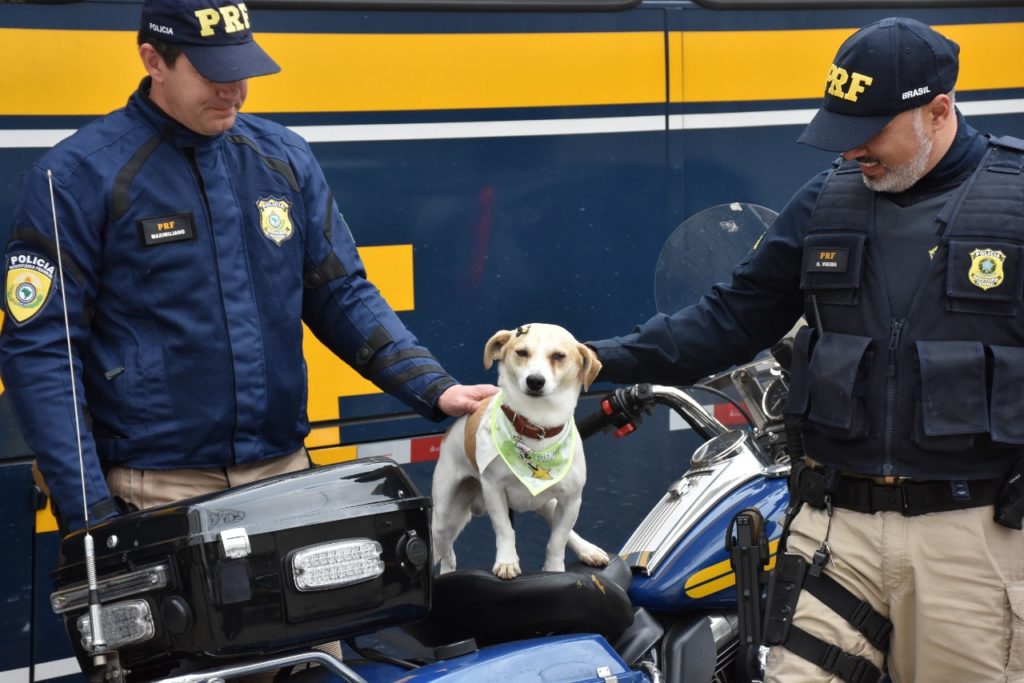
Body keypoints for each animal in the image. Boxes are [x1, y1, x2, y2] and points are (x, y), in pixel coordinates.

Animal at [431, 323, 610, 579]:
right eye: (522, 352)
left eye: (558, 356)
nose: (535, 380)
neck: (538, 426)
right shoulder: (494, 489)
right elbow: (505, 529)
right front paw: (507, 561)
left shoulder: (571, 499)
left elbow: (558, 540)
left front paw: (555, 570)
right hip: (443, 517)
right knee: (448, 557)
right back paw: (447, 572)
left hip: (547, 502)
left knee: (566, 531)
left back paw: (587, 549)